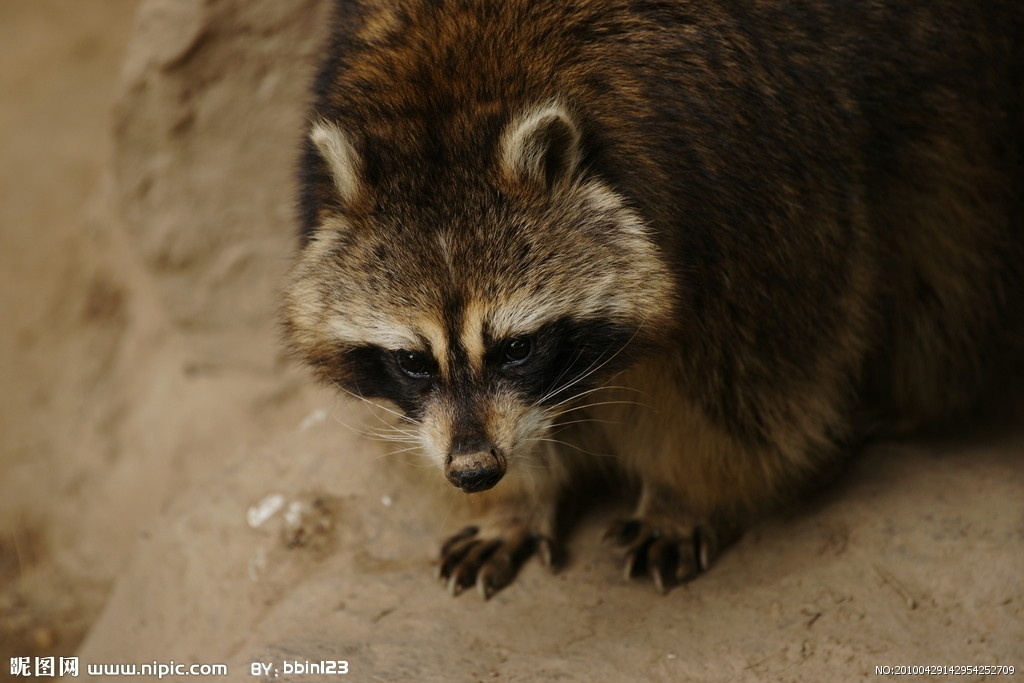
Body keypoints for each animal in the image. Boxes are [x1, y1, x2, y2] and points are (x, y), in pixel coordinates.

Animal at [282, 0, 1024, 593]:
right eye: (412, 360)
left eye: (517, 348)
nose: (473, 470)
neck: (449, 98)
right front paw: (516, 501)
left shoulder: (751, 192)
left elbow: (744, 389)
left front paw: (682, 493)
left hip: (952, 97)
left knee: (949, 257)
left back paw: (914, 398)